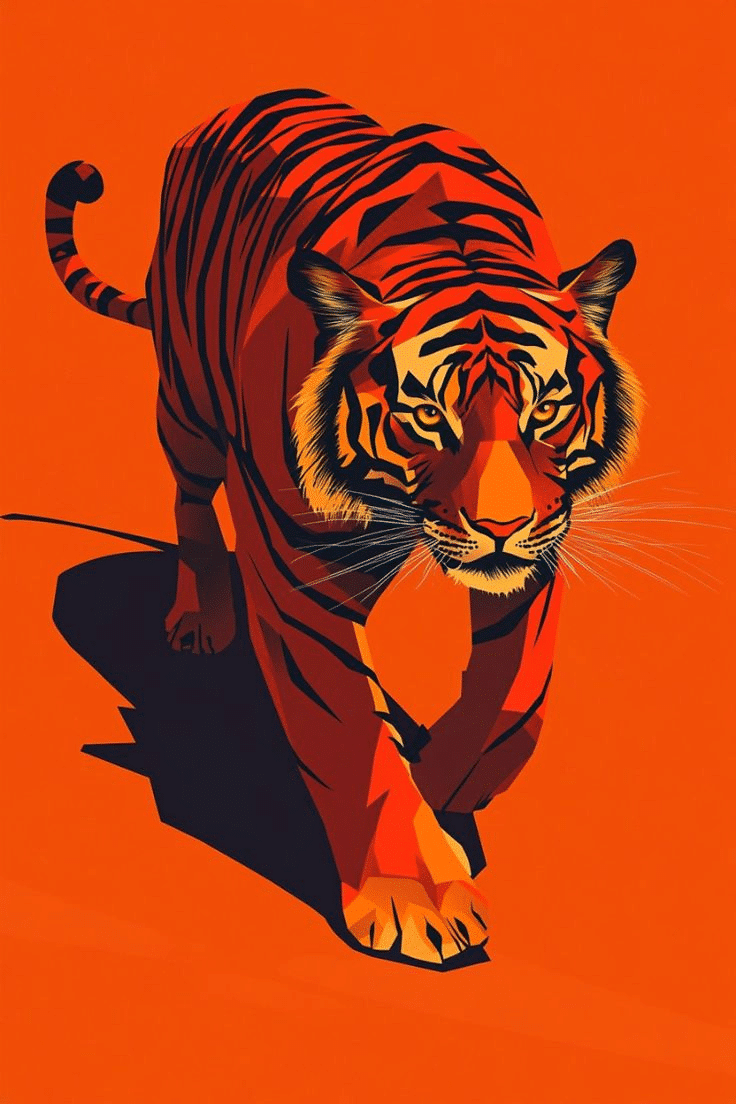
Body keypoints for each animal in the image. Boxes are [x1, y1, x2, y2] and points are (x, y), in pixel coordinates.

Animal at [45, 88, 640, 966]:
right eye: (426, 415)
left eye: (549, 408)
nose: (501, 526)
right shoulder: (296, 566)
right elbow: (348, 735)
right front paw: (416, 894)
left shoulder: (543, 545)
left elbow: (515, 692)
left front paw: (447, 776)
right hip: (187, 397)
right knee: (189, 498)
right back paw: (200, 619)